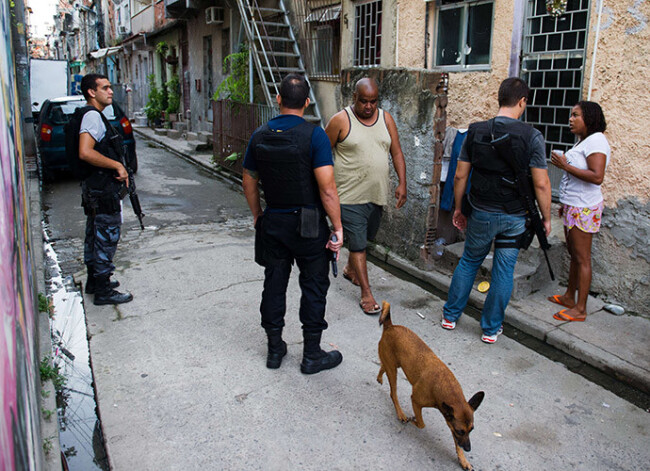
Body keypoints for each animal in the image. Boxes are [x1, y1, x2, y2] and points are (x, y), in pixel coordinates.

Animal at [374, 304, 480, 470]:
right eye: (460, 431)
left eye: (471, 429)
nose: (468, 448)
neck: (447, 389)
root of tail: (390, 326)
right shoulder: (416, 401)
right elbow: (422, 424)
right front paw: (413, 420)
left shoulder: (451, 420)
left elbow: (457, 445)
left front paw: (463, 460)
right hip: (393, 371)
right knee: (393, 394)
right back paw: (401, 414)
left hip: (393, 365)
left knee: (383, 366)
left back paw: (379, 378)